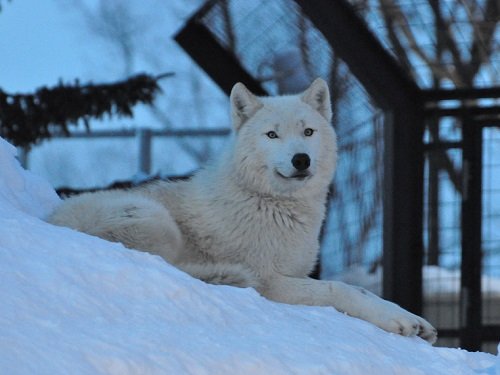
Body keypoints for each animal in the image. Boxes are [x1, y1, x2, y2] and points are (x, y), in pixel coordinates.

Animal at [48, 78, 436, 344]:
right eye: (272, 135)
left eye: (308, 132)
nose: (301, 159)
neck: (271, 205)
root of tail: (53, 217)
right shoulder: (273, 282)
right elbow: (342, 289)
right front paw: (399, 322)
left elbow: (365, 290)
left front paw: (416, 321)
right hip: (154, 218)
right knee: (166, 266)